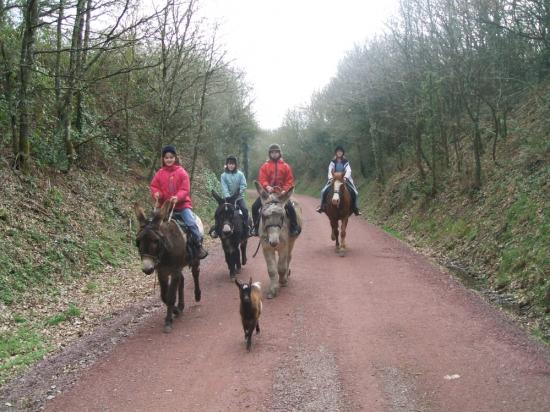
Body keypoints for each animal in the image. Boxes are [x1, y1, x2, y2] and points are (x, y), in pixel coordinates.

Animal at [134, 201, 203, 334]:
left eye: (156, 241)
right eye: (137, 241)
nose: (147, 269)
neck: (165, 251)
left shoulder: (174, 270)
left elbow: (170, 297)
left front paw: (168, 321)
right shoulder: (162, 272)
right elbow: (164, 296)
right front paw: (176, 310)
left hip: (194, 257)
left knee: (195, 273)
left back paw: (197, 295)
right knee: (182, 280)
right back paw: (181, 305)